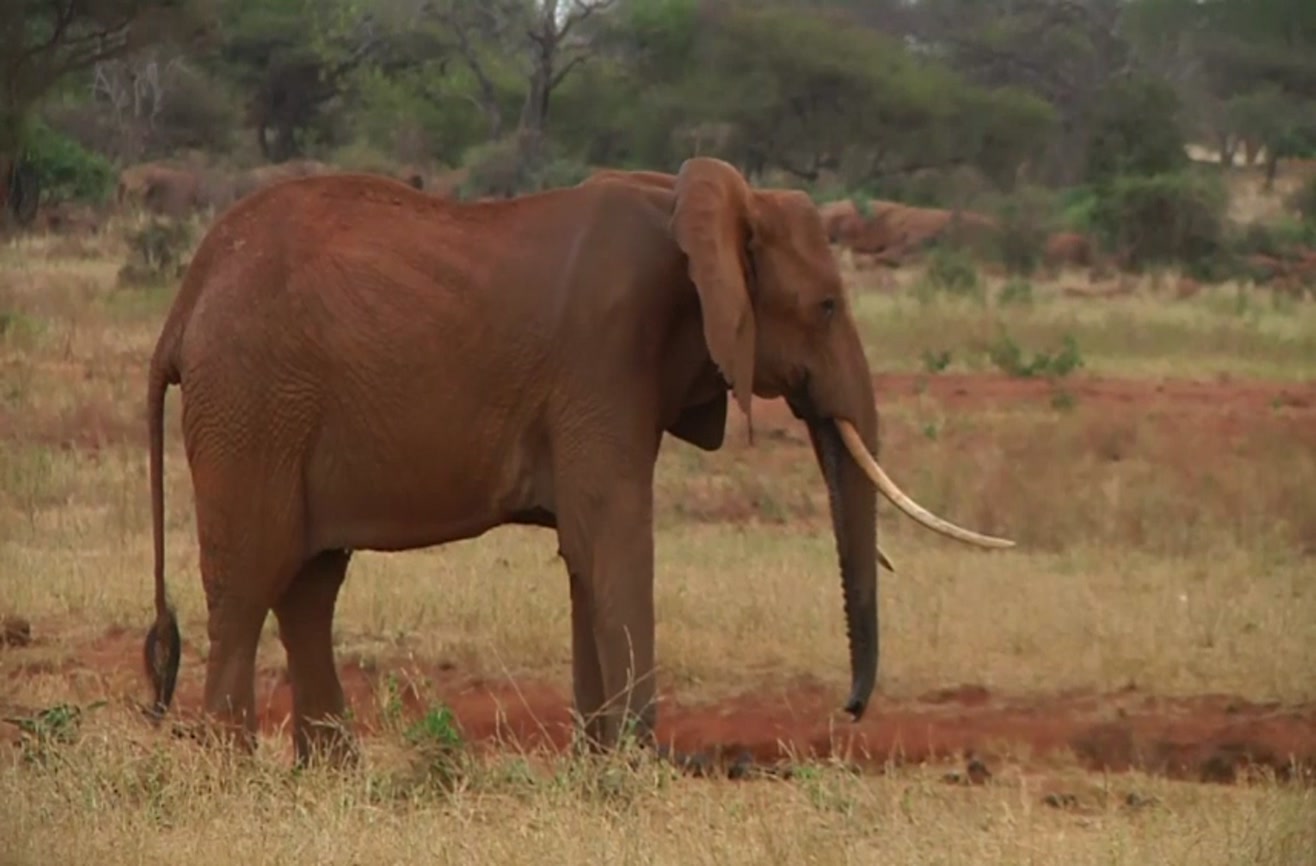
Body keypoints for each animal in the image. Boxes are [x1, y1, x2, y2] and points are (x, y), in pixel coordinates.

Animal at [138, 155, 1010, 763]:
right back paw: (235, 773)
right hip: (252, 404)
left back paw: (332, 774)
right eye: (827, 306)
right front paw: (636, 768)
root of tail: (185, 302)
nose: (851, 711)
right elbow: (613, 538)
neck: (693, 203)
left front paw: (600, 767)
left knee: (309, 585)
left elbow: (586, 554)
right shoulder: (605, 356)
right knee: (250, 581)